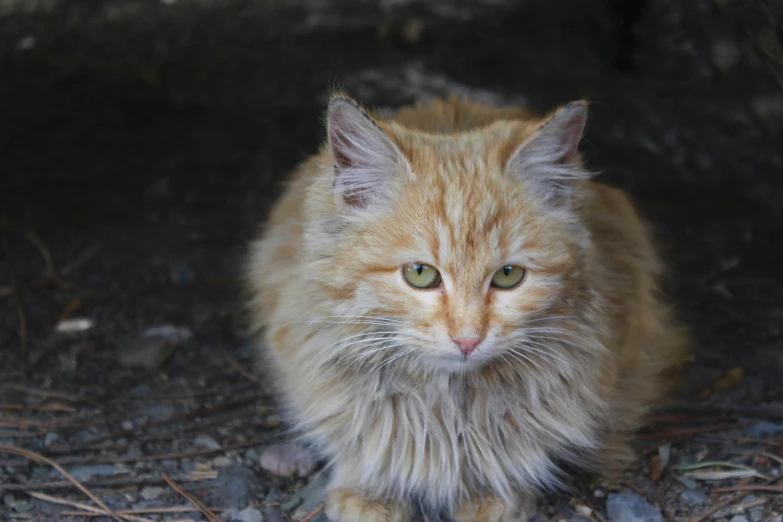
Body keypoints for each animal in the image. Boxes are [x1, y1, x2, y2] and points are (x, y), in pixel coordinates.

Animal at [243, 94, 688, 520]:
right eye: (420, 274)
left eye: (508, 275)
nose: (469, 339)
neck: (450, 402)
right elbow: (363, 441)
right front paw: (371, 493)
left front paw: (492, 495)